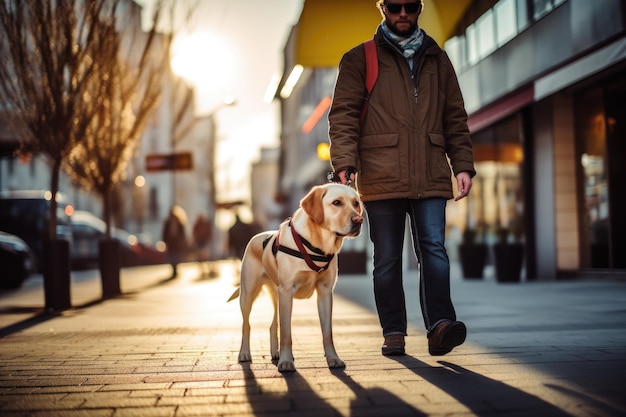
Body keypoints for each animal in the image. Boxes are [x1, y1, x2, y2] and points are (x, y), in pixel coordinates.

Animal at [228, 184, 360, 372]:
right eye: (337, 202)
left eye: (356, 203)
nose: (359, 220)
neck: (317, 246)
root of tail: (256, 236)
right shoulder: (287, 291)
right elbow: (286, 333)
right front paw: (286, 361)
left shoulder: (325, 292)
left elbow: (327, 333)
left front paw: (333, 358)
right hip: (248, 295)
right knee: (246, 325)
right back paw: (244, 353)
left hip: (276, 295)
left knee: (272, 325)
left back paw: (274, 353)